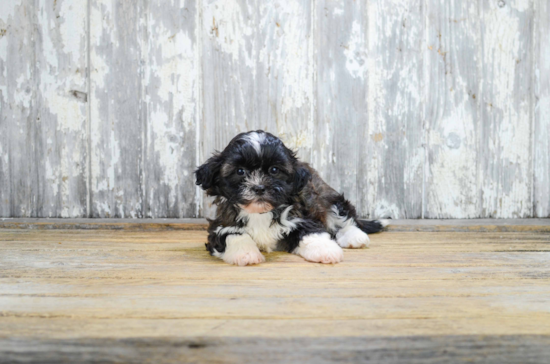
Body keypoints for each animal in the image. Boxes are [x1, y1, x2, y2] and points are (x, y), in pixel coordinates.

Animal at [194, 129, 388, 266]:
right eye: (240, 171)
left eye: (274, 170)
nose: (259, 187)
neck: (260, 213)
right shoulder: (221, 225)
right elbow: (232, 235)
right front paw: (245, 253)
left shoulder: (302, 217)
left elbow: (312, 233)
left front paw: (326, 250)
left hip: (328, 198)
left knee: (345, 218)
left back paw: (356, 237)